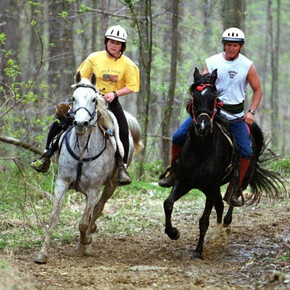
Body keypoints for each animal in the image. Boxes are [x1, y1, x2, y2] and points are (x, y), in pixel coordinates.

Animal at [34, 73, 143, 264]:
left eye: (93, 99)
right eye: (73, 98)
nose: (80, 123)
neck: (82, 150)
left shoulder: (93, 189)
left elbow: (84, 222)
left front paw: (85, 241)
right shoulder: (62, 183)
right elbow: (54, 217)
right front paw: (42, 254)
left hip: (111, 185)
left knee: (98, 209)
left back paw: (86, 242)